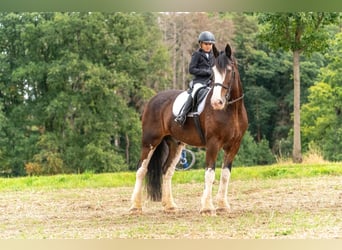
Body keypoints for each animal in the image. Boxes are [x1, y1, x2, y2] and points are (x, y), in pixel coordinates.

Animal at [130, 43, 247, 215]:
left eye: (229, 70)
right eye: (212, 73)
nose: (217, 102)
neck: (231, 110)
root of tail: (153, 99)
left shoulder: (234, 146)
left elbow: (225, 174)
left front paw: (222, 205)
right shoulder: (212, 144)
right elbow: (209, 174)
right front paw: (207, 207)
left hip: (176, 144)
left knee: (166, 170)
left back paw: (169, 205)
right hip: (150, 141)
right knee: (141, 170)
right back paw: (135, 206)